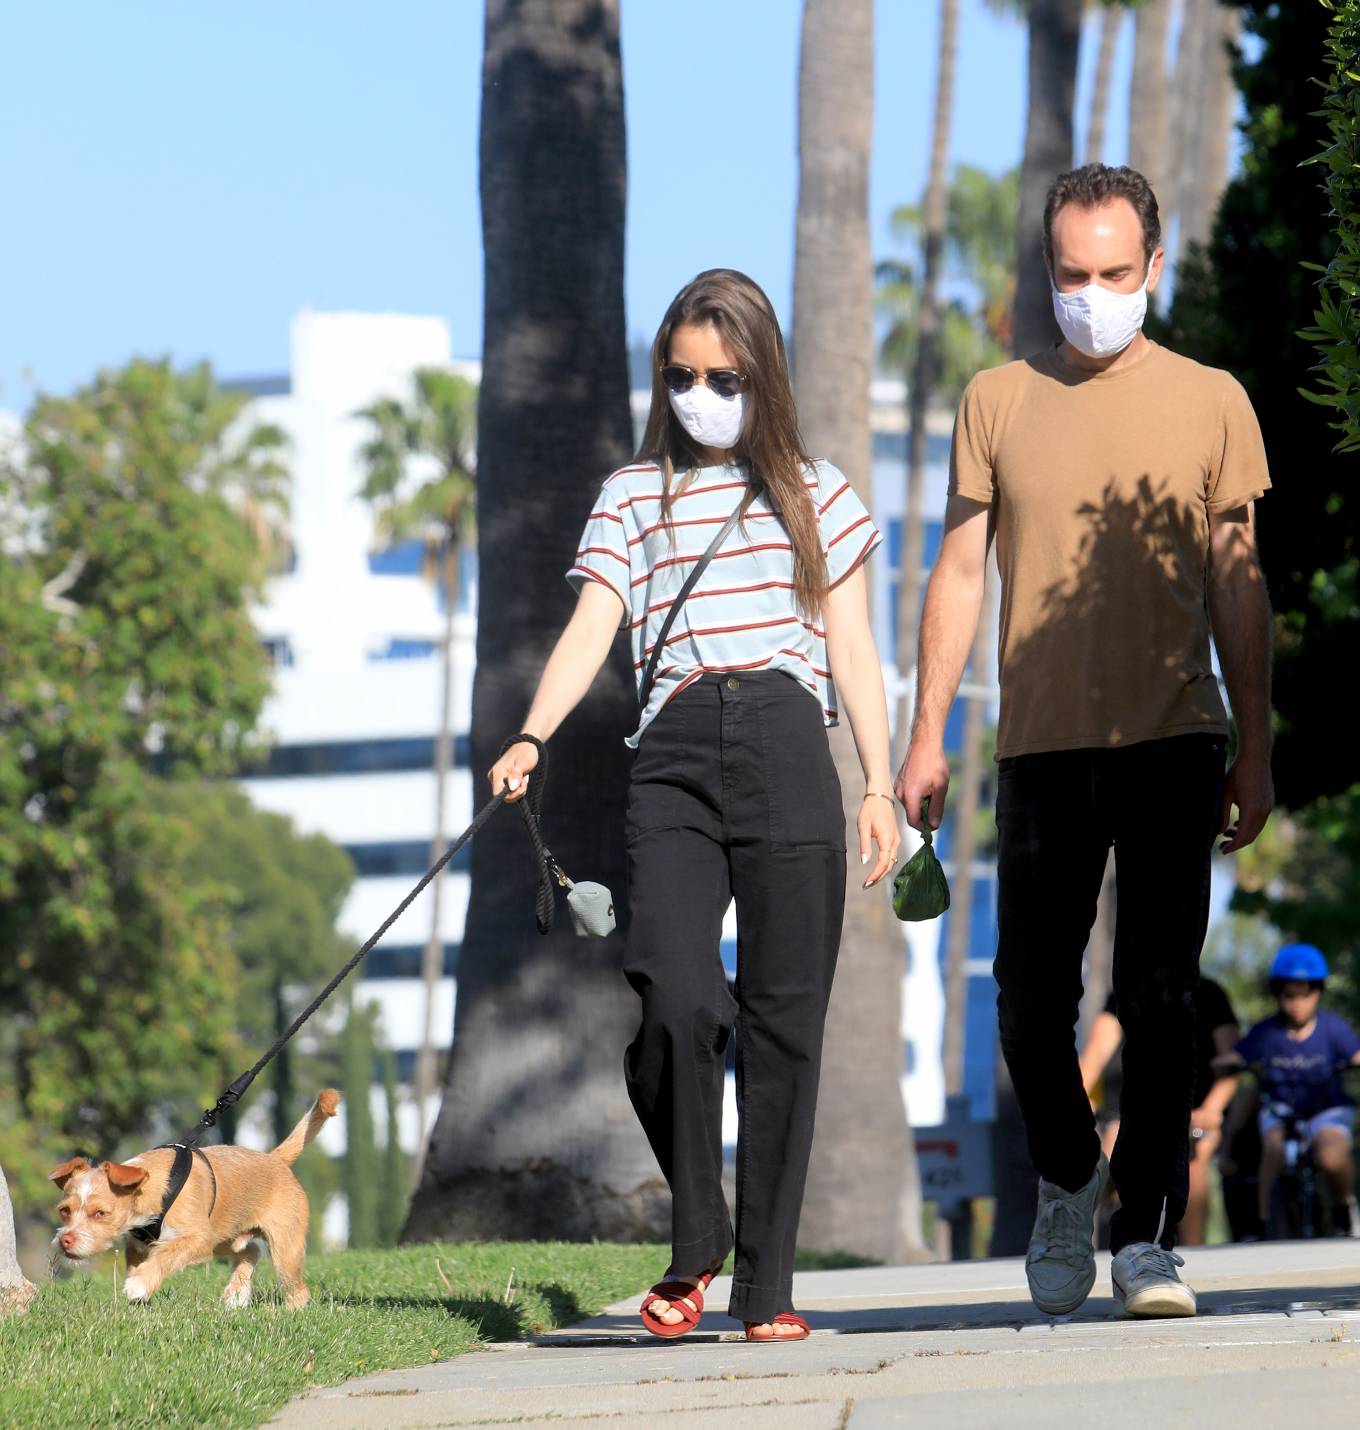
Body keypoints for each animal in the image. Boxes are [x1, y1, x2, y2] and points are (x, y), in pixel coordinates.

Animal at [50, 1086, 337, 1304]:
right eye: (64, 1210)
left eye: (100, 1213)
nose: (65, 1240)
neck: (153, 1186)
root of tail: (275, 1158)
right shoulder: (138, 1245)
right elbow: (139, 1262)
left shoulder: (197, 1237)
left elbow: (166, 1254)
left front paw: (139, 1285)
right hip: (225, 1236)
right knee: (252, 1250)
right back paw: (236, 1295)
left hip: (282, 1245)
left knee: (296, 1288)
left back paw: (290, 1311)